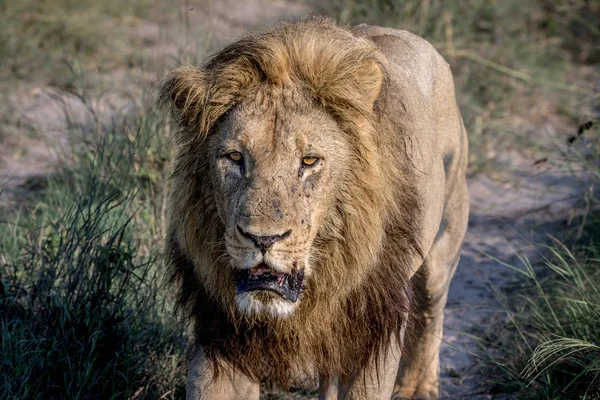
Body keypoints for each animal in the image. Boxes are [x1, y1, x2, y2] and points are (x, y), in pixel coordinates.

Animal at [161, 16, 468, 400]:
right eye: (234, 157)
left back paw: (419, 389)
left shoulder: (373, 332)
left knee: (430, 314)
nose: (262, 239)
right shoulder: (222, 333)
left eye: (308, 161)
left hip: (444, 244)